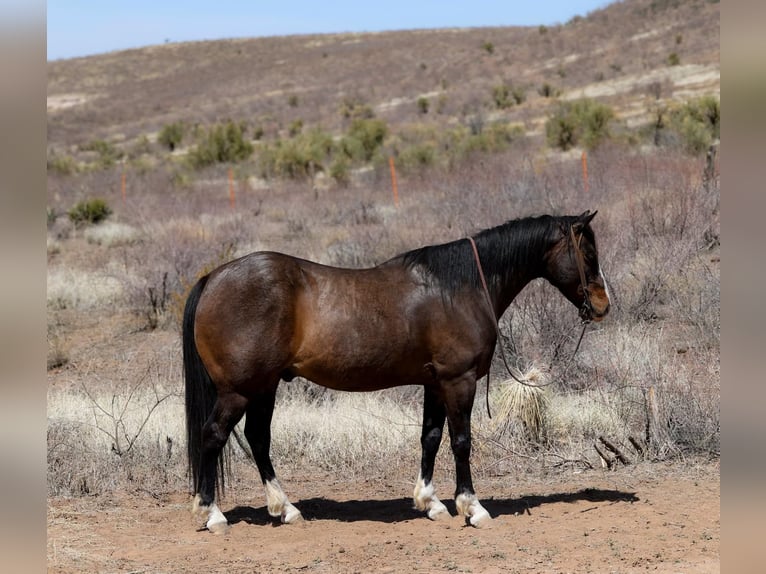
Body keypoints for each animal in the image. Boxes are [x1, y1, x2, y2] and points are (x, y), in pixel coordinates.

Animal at [183, 210, 610, 533]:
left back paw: (285, 508)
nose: (603, 305)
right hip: (239, 390)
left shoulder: (435, 384)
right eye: (588, 252)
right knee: (213, 436)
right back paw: (212, 514)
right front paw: (472, 508)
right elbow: (461, 441)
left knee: (257, 439)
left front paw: (430, 502)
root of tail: (212, 278)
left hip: (265, 387)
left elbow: (430, 438)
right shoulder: (458, 381)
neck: (459, 288)